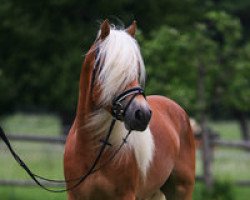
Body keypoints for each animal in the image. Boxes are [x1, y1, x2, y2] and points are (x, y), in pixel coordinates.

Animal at [64, 19, 195, 199]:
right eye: (108, 68)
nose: (143, 114)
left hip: (181, 190)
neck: (93, 151)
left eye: (137, 69)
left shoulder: (126, 195)